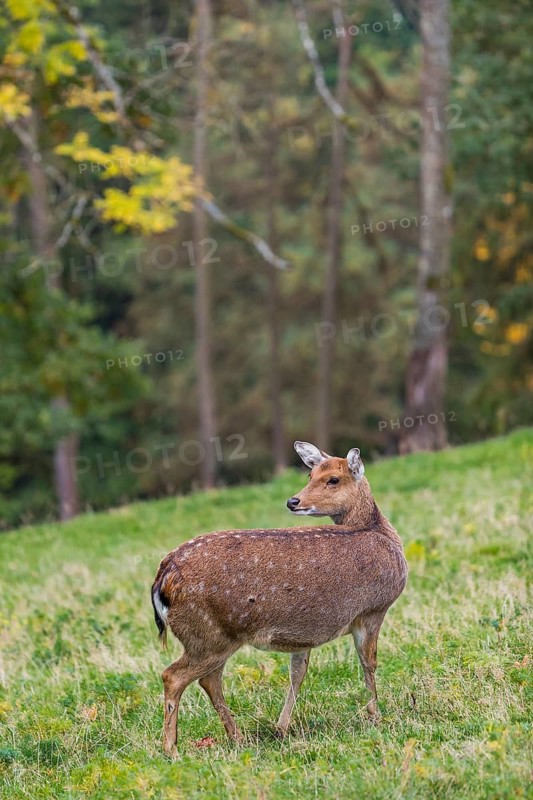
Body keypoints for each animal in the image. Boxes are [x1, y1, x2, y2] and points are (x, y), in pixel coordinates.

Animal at [151, 441, 407, 756]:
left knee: (209, 680)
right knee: (174, 676)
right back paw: (172, 749)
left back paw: (237, 737)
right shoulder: (373, 609)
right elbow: (368, 662)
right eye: (311, 475)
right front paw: (376, 716)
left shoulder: (306, 632)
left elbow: (298, 672)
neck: (381, 533)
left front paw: (281, 729)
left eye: (332, 479)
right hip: (207, 634)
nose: (293, 501)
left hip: (212, 637)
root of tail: (163, 577)